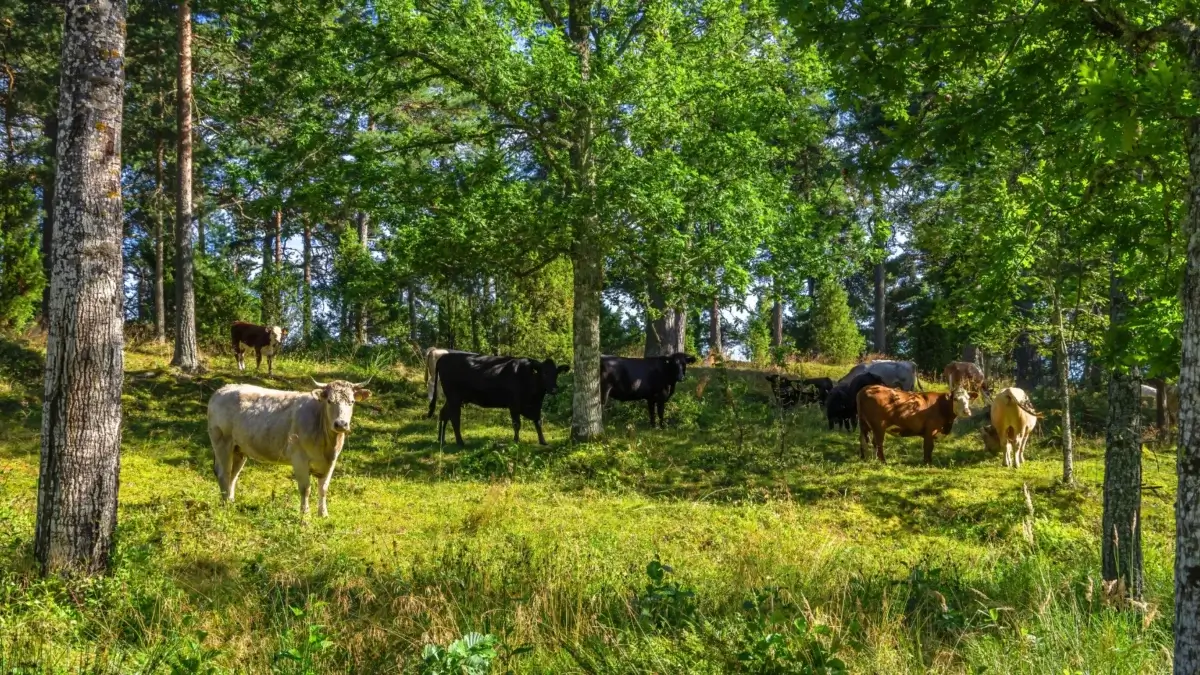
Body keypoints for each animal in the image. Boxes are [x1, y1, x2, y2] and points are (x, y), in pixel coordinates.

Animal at [207, 378, 372, 517]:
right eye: (330, 401)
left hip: (239, 449)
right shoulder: (299, 458)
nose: (341, 424)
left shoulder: (331, 461)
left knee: (233, 475)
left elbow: (323, 488)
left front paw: (323, 514)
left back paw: (230, 501)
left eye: (352, 401)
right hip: (222, 442)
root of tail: (222, 390)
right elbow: (305, 489)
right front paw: (305, 516)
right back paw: (225, 505)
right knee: (224, 473)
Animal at [428, 353, 569, 446]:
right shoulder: (514, 405)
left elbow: (538, 422)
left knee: (443, 414)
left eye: (556, 373)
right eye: (544, 373)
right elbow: (517, 424)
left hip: (453, 398)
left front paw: (543, 441)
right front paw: (516, 440)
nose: (554, 389)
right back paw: (460, 442)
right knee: (454, 418)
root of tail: (443, 357)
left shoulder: (535, 406)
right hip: (454, 397)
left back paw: (441, 439)